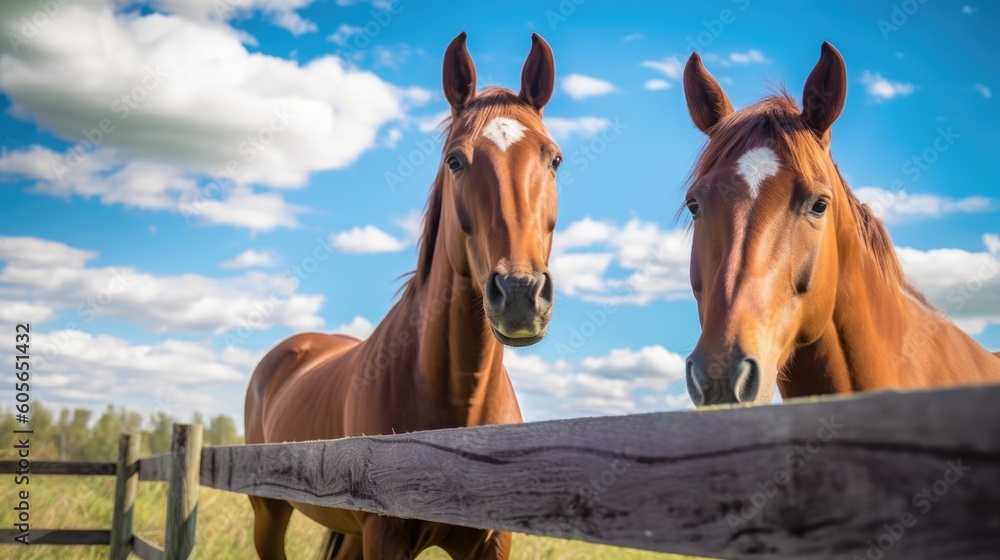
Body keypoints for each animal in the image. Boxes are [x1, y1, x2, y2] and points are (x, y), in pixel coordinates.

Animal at [244, 32, 561, 559]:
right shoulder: (385, 535)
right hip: (269, 514)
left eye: (554, 158)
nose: (520, 293)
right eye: (455, 160)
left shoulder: (491, 540)